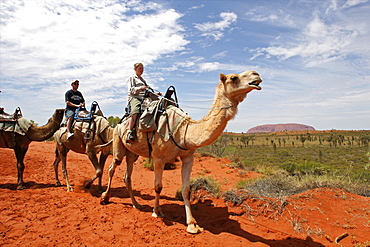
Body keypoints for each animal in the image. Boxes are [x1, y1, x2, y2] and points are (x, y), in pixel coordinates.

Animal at [101, 70, 262, 233]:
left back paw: (136, 204)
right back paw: (105, 197)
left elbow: (186, 190)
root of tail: (119, 123)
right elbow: (158, 186)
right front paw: (157, 211)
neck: (184, 131)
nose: (256, 75)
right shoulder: (158, 158)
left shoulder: (188, 157)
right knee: (112, 167)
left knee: (127, 176)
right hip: (118, 143)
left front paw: (192, 224)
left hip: (132, 154)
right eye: (233, 78)